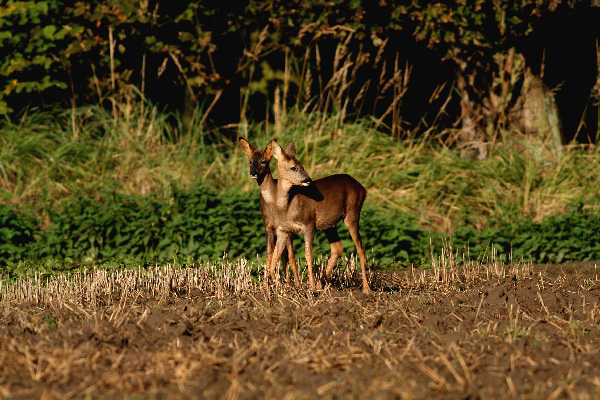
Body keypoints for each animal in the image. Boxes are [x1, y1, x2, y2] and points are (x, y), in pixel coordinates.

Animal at [268, 141, 370, 294]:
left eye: (302, 165)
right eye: (293, 167)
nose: (308, 180)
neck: (288, 206)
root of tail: (363, 188)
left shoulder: (309, 224)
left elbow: (308, 255)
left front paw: (310, 287)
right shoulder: (282, 230)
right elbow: (275, 255)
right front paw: (271, 285)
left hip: (353, 212)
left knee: (360, 248)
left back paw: (366, 288)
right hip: (330, 224)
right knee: (337, 247)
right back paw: (320, 284)